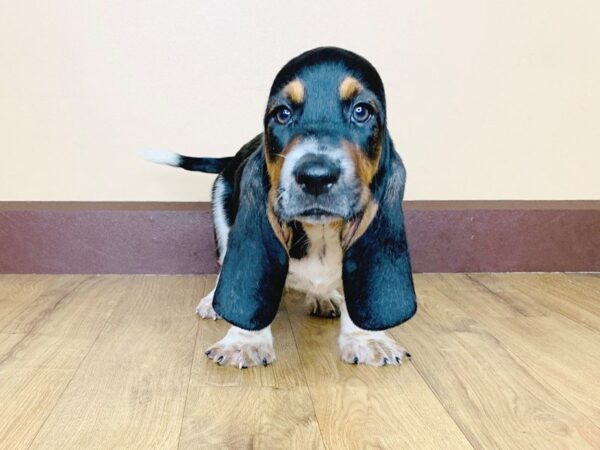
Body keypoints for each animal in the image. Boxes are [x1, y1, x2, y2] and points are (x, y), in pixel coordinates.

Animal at [145, 46, 418, 370]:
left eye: (362, 112)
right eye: (282, 114)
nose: (315, 177)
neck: (319, 233)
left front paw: (368, 339)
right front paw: (244, 342)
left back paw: (324, 296)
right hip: (221, 210)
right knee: (224, 261)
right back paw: (213, 302)